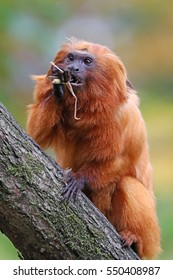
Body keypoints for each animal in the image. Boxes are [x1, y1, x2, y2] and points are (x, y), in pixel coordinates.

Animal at [26, 38, 161, 260]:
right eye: (71, 58)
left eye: (87, 61)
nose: (73, 68)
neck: (89, 106)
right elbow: (36, 136)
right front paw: (58, 89)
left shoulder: (123, 117)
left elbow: (122, 160)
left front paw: (80, 179)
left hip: (149, 240)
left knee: (128, 184)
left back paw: (134, 240)